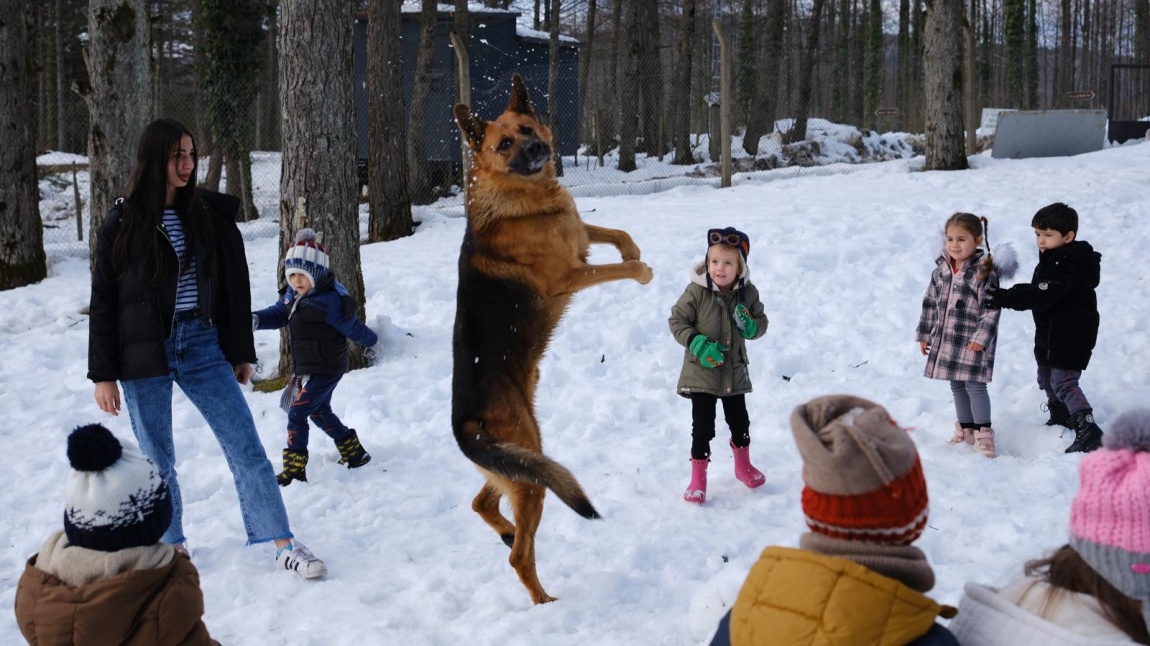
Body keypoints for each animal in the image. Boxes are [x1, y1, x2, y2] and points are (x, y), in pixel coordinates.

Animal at [448, 76, 653, 602]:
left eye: (526, 128)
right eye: (503, 144)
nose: (538, 149)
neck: (521, 197)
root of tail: (464, 422)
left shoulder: (580, 237)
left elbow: (612, 230)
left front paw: (632, 248)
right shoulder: (570, 275)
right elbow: (618, 267)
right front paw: (641, 269)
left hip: (522, 464)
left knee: (481, 504)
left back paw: (504, 532)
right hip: (532, 471)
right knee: (521, 556)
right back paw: (544, 602)